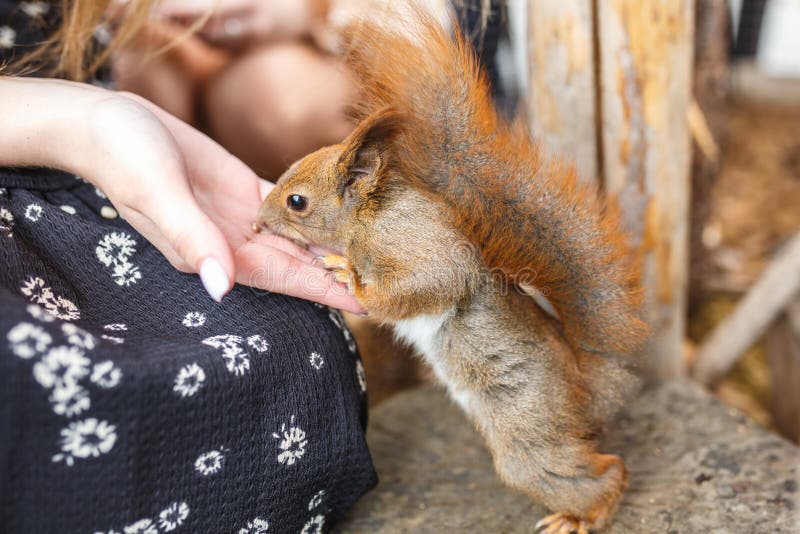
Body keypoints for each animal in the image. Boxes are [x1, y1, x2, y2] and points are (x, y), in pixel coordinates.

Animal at [255, 10, 648, 533]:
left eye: (297, 201)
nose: (258, 220)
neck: (367, 217)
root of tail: (586, 389)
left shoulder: (413, 242)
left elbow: (437, 280)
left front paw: (349, 275)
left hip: (528, 427)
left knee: (601, 470)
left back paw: (585, 514)